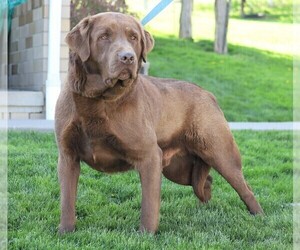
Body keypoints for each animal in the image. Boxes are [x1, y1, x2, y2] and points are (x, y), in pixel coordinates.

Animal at [55, 11, 264, 234]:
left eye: (133, 38)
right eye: (103, 36)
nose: (127, 57)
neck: (99, 100)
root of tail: (208, 93)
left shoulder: (150, 156)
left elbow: (149, 204)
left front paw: (146, 234)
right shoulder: (67, 156)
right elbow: (67, 199)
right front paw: (65, 231)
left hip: (220, 153)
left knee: (245, 187)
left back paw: (259, 216)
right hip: (179, 169)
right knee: (204, 181)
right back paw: (204, 207)